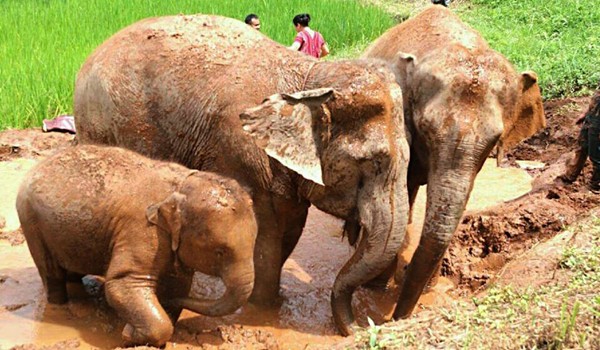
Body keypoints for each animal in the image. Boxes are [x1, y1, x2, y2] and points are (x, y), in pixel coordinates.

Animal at [17, 145, 256, 348]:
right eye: (220, 252)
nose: (128, 328)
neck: (182, 185)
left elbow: (178, 286)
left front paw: (140, 327)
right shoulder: (142, 230)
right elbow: (121, 282)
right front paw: (128, 336)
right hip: (31, 222)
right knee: (51, 273)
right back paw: (60, 307)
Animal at [72, 14, 410, 336]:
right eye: (372, 162)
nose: (367, 325)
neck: (309, 78)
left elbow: (290, 228)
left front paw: (272, 302)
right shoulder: (240, 151)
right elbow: (265, 236)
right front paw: (261, 309)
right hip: (101, 126)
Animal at [358, 5, 548, 318]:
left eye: (496, 139)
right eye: (424, 128)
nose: (396, 317)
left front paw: (428, 288)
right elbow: (402, 188)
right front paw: (376, 289)